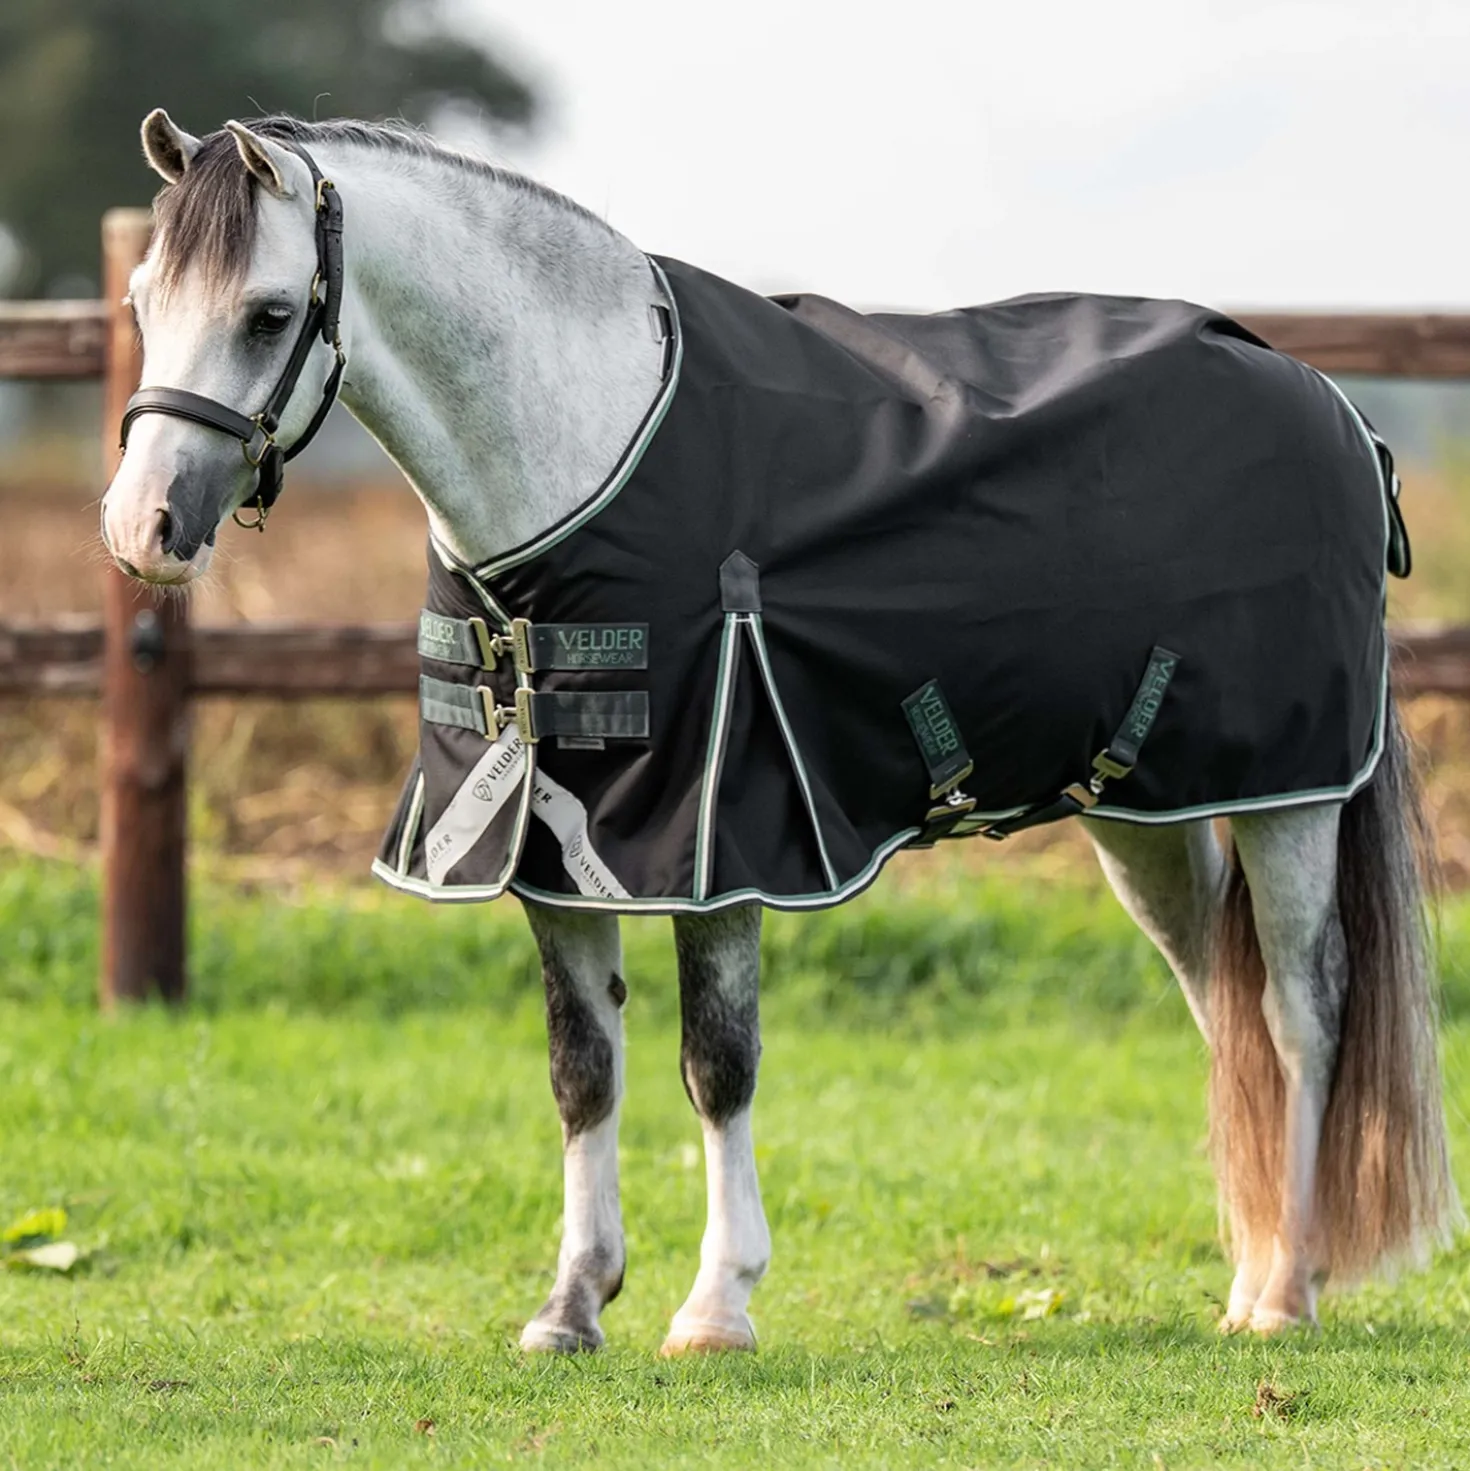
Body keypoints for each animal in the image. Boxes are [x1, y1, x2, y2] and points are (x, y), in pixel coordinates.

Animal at [101, 109, 1461, 1353]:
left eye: (269, 313)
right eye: (142, 299)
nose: (141, 529)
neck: (582, 452)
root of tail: (1337, 407)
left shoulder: (718, 844)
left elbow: (718, 1063)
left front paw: (716, 1305)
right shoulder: (550, 850)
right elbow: (582, 1070)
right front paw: (571, 1304)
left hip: (1292, 796)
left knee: (1300, 1007)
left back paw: (1285, 1295)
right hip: (1150, 815)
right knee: (1223, 1009)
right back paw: (1259, 1271)